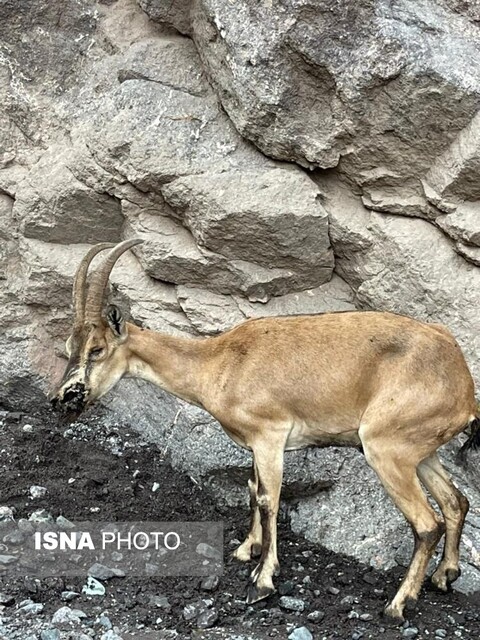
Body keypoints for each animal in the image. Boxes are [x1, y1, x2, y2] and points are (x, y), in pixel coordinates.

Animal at [49, 239, 480, 620]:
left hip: (386, 448)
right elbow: (253, 488)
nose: (59, 399)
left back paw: (396, 605)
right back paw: (444, 576)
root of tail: (464, 387)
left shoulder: (271, 435)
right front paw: (246, 550)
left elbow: (269, 499)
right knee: (455, 501)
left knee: (427, 523)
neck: (220, 363)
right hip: (420, 451)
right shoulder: (255, 445)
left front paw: (262, 580)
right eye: (70, 345)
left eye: (97, 349)